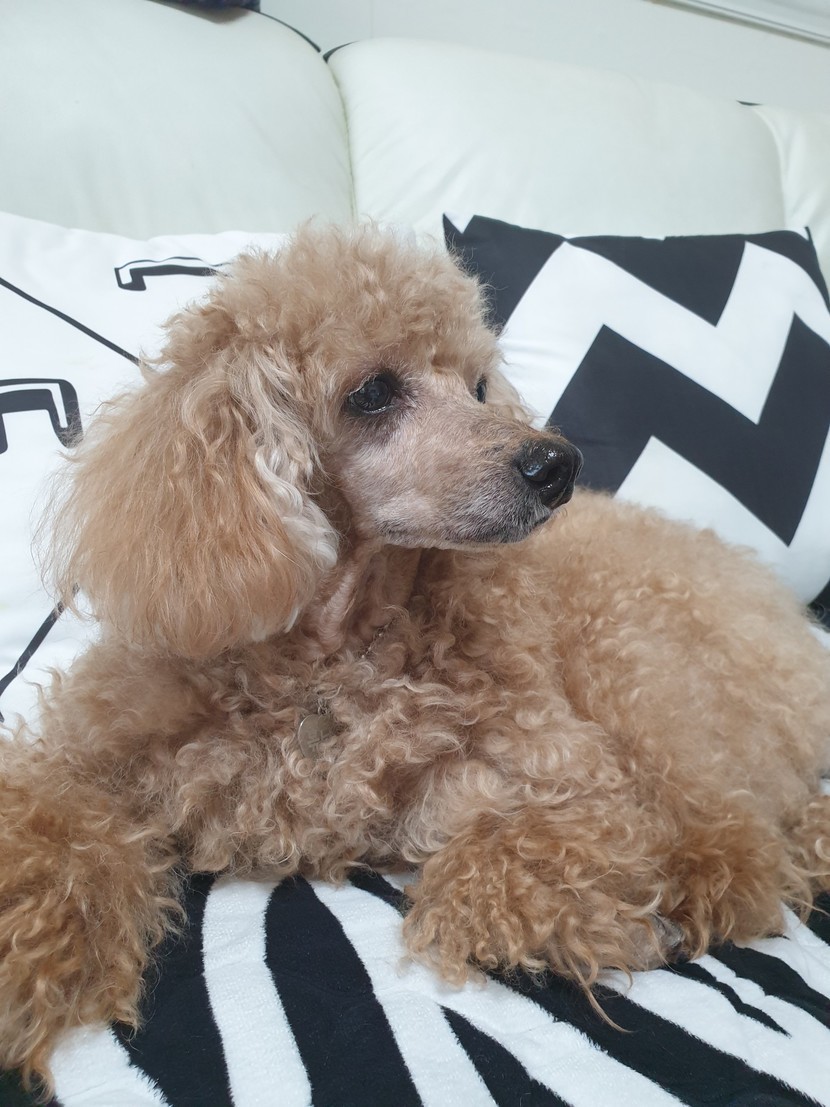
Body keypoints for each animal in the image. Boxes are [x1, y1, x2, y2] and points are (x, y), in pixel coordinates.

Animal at [2, 224, 829, 1088]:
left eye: (476, 386)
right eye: (372, 391)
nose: (555, 466)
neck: (332, 658)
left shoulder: (573, 779)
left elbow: (509, 866)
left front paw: (590, 914)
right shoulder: (89, 754)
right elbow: (48, 837)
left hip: (636, 660)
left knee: (742, 841)